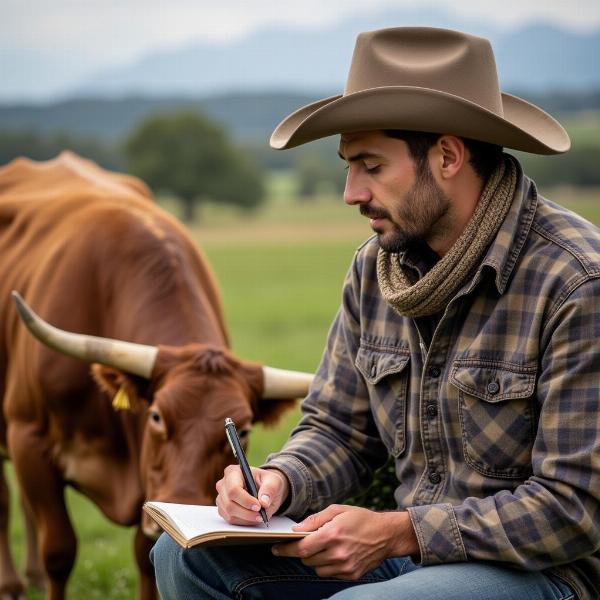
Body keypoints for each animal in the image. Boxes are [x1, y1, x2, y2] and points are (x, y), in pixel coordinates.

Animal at [0, 154, 312, 600]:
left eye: (246, 431)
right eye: (156, 416)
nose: (180, 499)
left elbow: (144, 553)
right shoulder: (29, 440)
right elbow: (58, 550)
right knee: (6, 499)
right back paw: (12, 583)